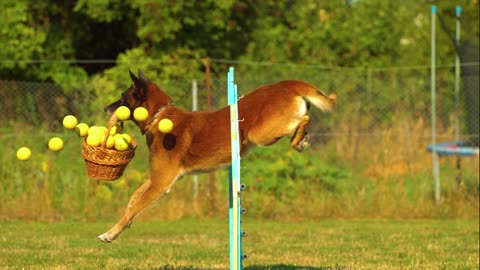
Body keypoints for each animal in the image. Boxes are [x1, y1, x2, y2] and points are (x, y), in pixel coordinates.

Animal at [98, 69, 338, 243]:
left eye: (122, 98)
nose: (105, 108)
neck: (160, 116)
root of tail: (288, 84)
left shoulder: (160, 183)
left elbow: (135, 207)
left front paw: (110, 233)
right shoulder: (158, 178)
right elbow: (132, 201)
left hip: (263, 134)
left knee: (303, 119)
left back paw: (298, 140)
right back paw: (301, 139)